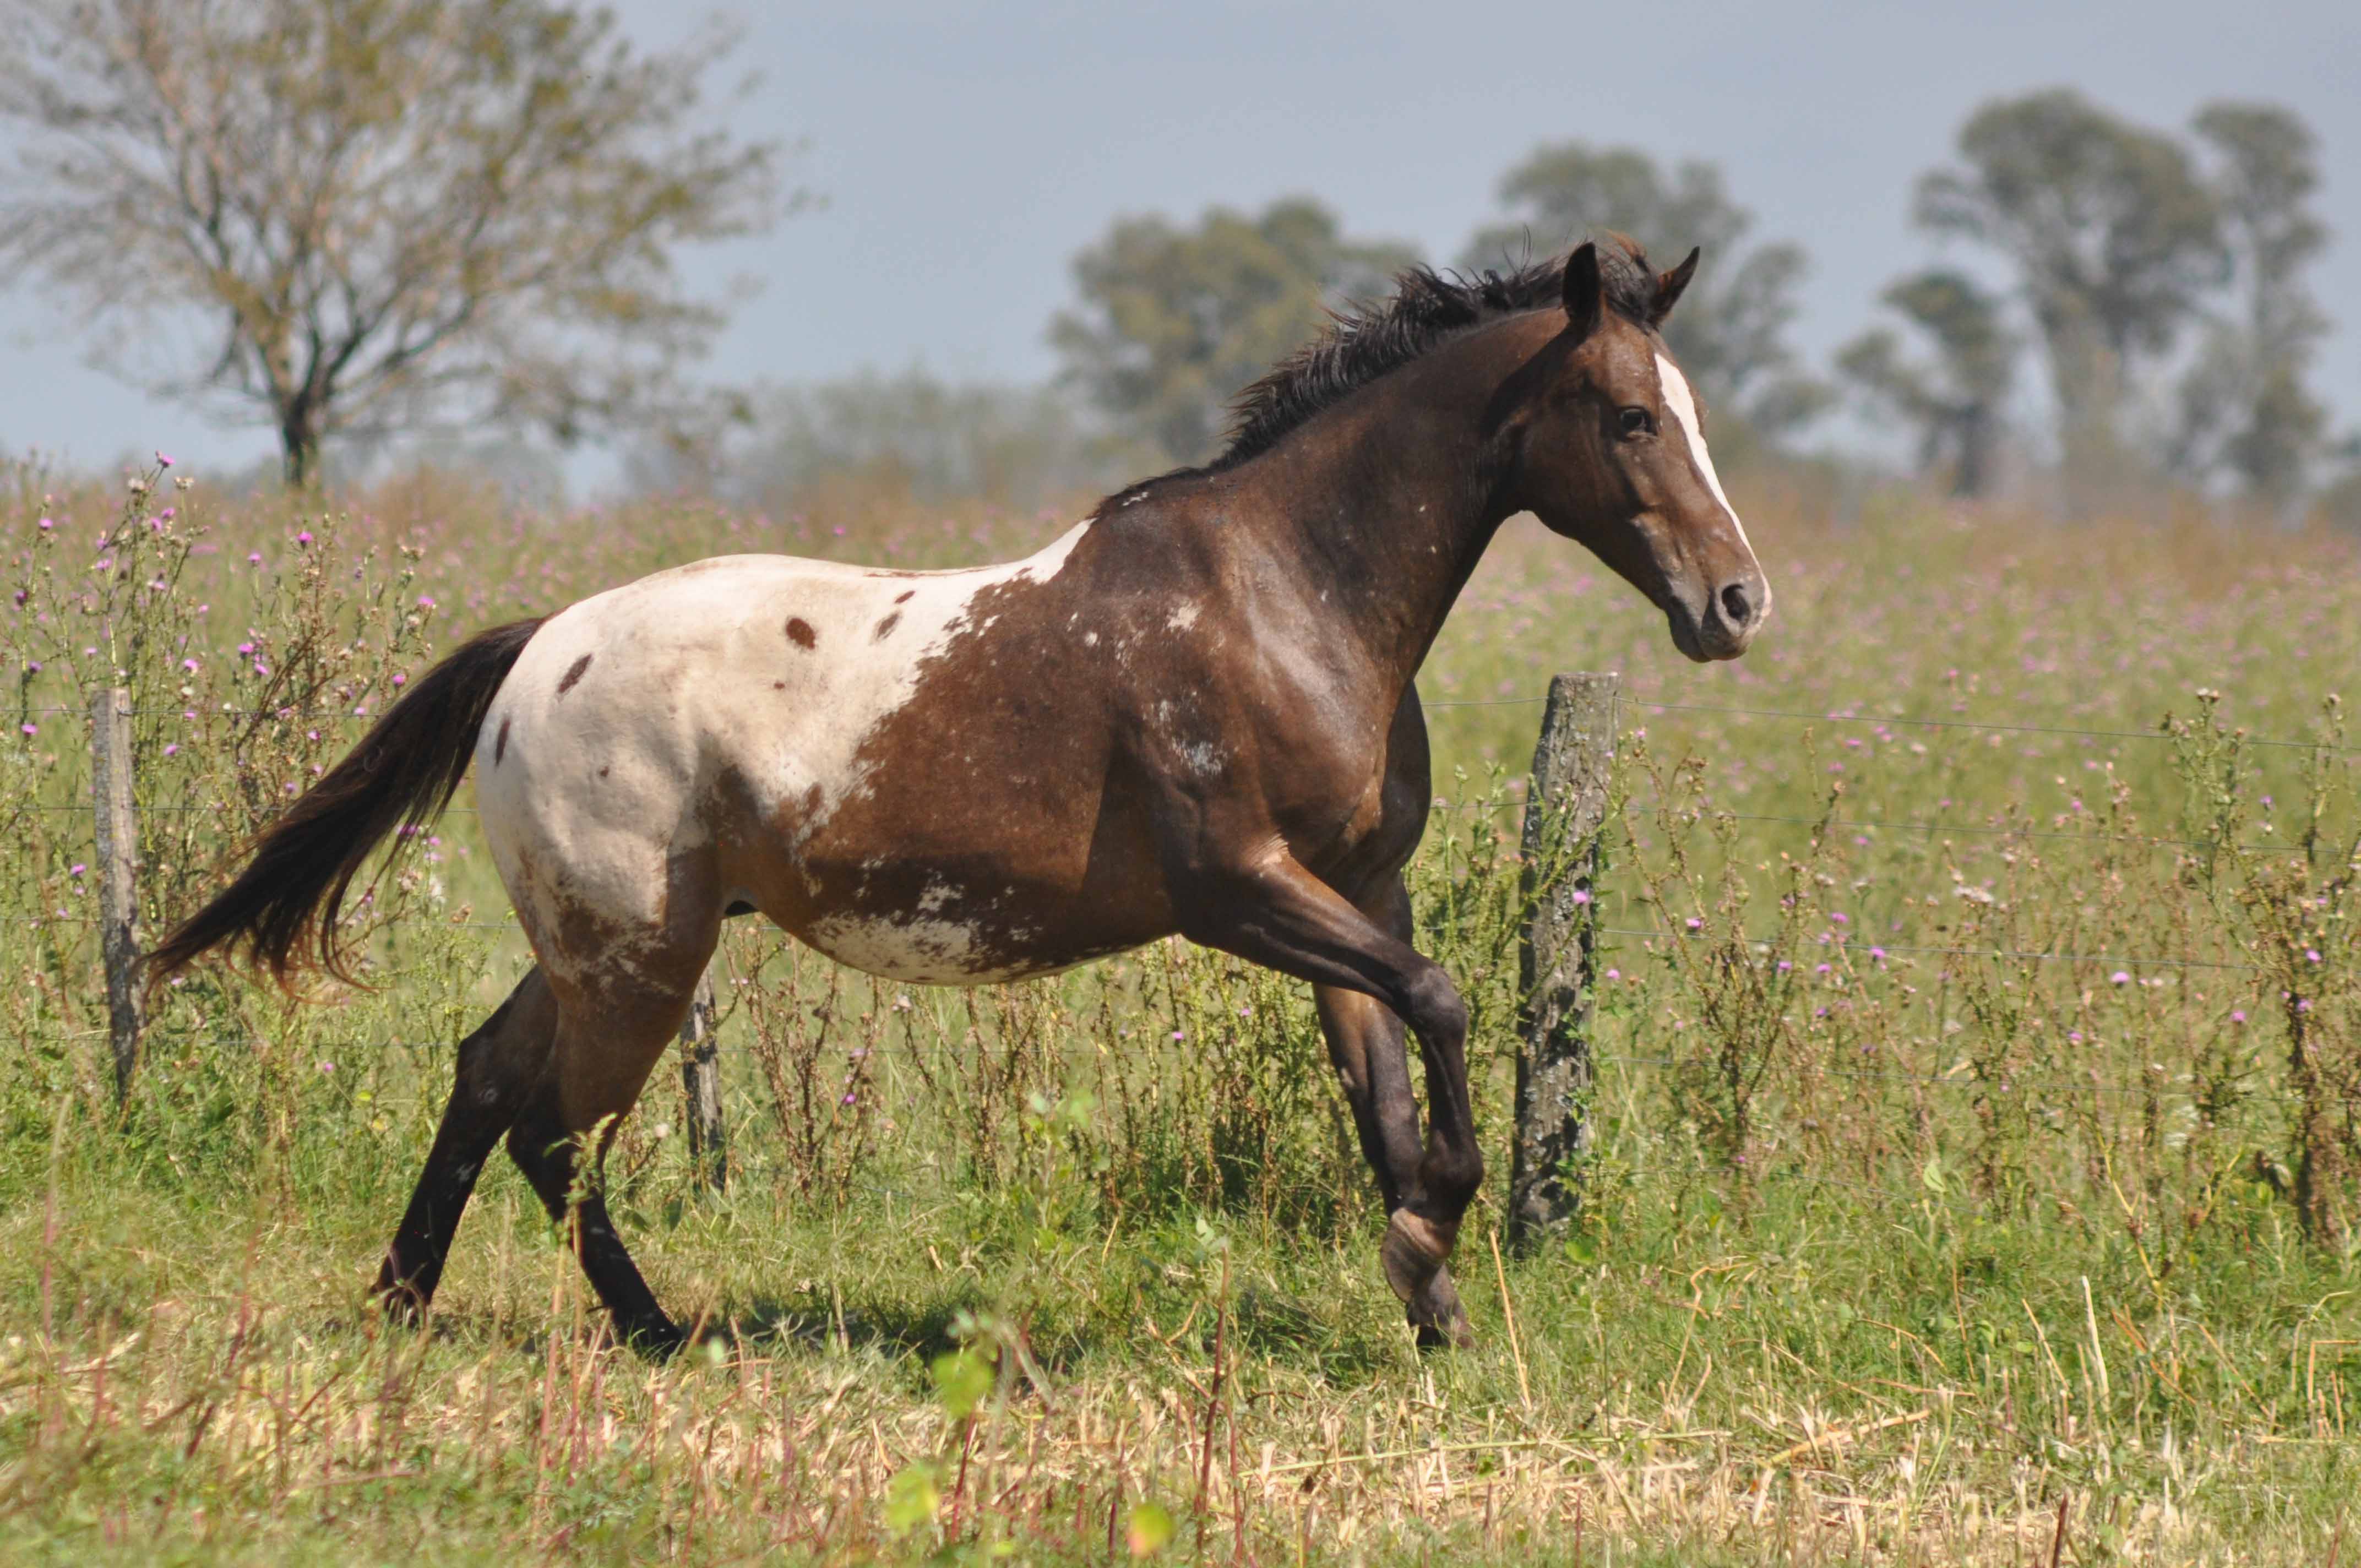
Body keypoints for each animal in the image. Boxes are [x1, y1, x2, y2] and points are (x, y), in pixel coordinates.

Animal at [152, 238, 1775, 1351]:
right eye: (1630, 417)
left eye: (1689, 410)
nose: (1736, 604)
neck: (1284, 597)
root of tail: (538, 649)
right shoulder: (1239, 891)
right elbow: (1441, 1001)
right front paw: (1439, 1225)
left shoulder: (1355, 890)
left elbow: (1385, 1073)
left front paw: (1428, 1291)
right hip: (638, 957)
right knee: (553, 1126)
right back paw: (654, 1332)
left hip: (603, 947)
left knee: (489, 1078)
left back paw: (413, 1302)